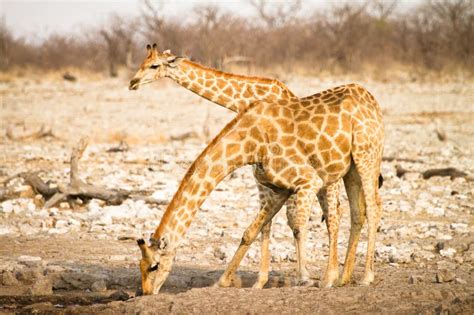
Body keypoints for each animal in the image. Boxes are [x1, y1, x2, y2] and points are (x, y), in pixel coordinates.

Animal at [130, 43, 344, 288]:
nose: (133, 82)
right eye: (142, 63)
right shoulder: (261, 174)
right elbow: (267, 223)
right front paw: (260, 281)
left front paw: (284, 278)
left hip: (331, 182)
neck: (246, 97)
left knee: (336, 217)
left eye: (154, 65)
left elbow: (281, 223)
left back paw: (333, 277)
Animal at [134, 82, 386, 296]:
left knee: (373, 207)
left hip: (367, 155)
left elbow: (297, 227)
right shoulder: (278, 189)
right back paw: (343, 278)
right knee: (358, 211)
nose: (147, 293)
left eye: (154, 266)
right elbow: (251, 231)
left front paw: (305, 279)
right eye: (140, 266)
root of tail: (372, 101)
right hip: (350, 168)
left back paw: (363, 277)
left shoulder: (308, 180)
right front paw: (222, 282)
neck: (250, 144)